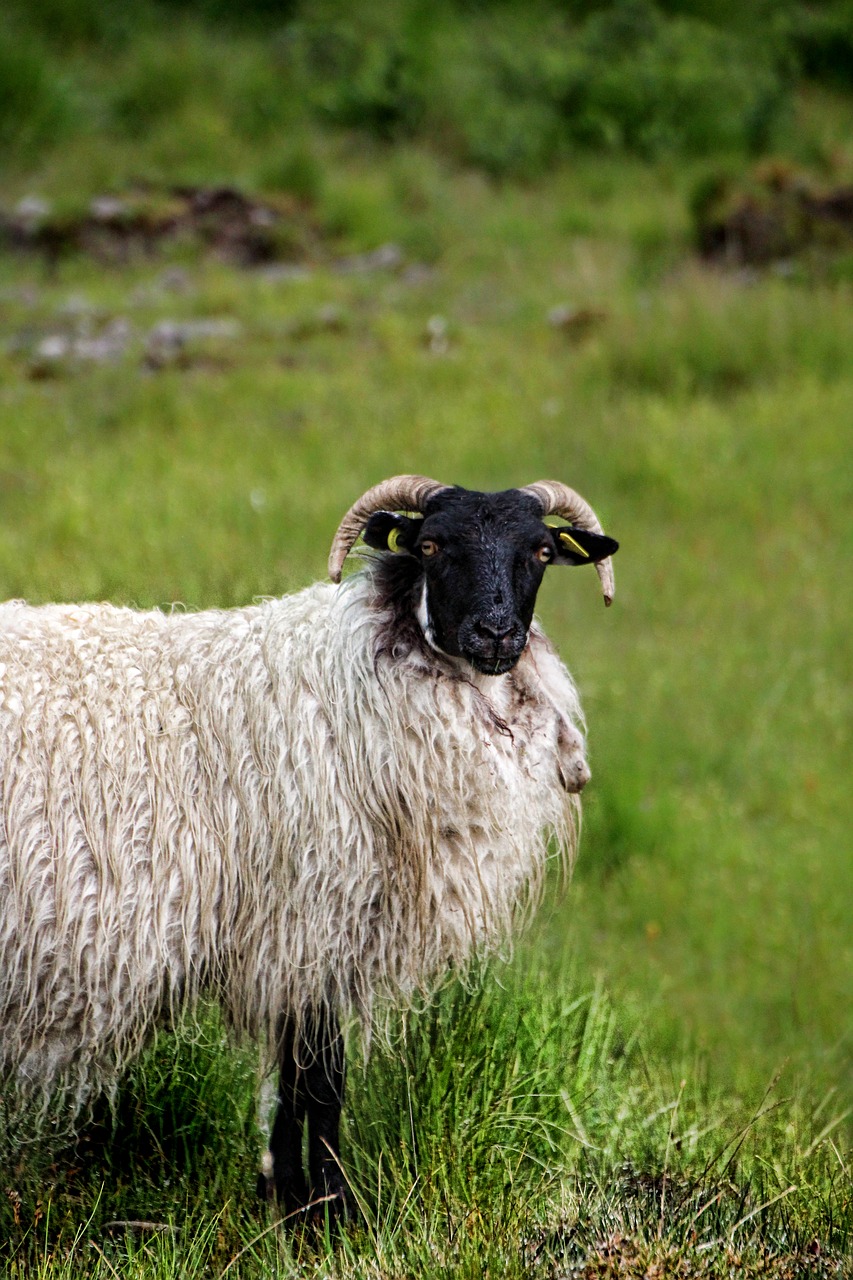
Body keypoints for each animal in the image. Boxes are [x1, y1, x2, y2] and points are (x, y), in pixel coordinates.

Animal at [0, 473, 614, 1218]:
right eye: (431, 545)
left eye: (541, 552)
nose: (496, 634)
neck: (349, 686)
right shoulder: (309, 925)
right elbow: (321, 1077)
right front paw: (327, 1209)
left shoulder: (303, 944)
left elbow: (296, 1078)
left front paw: (285, 1193)